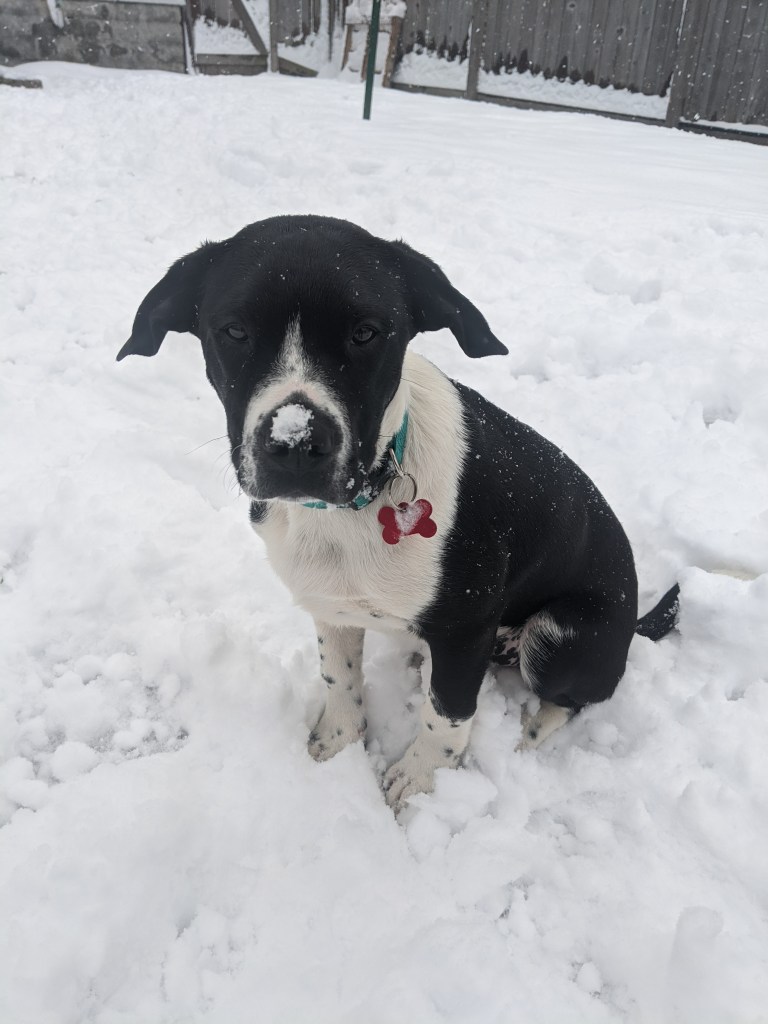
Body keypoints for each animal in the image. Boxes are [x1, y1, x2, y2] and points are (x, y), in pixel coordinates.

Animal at [118, 215, 678, 813]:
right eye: (234, 331)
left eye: (366, 332)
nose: (295, 443)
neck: (356, 504)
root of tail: (632, 624)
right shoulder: (331, 603)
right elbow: (339, 677)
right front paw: (336, 744)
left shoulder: (466, 630)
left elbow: (448, 714)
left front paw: (421, 783)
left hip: (561, 636)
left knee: (574, 699)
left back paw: (528, 731)